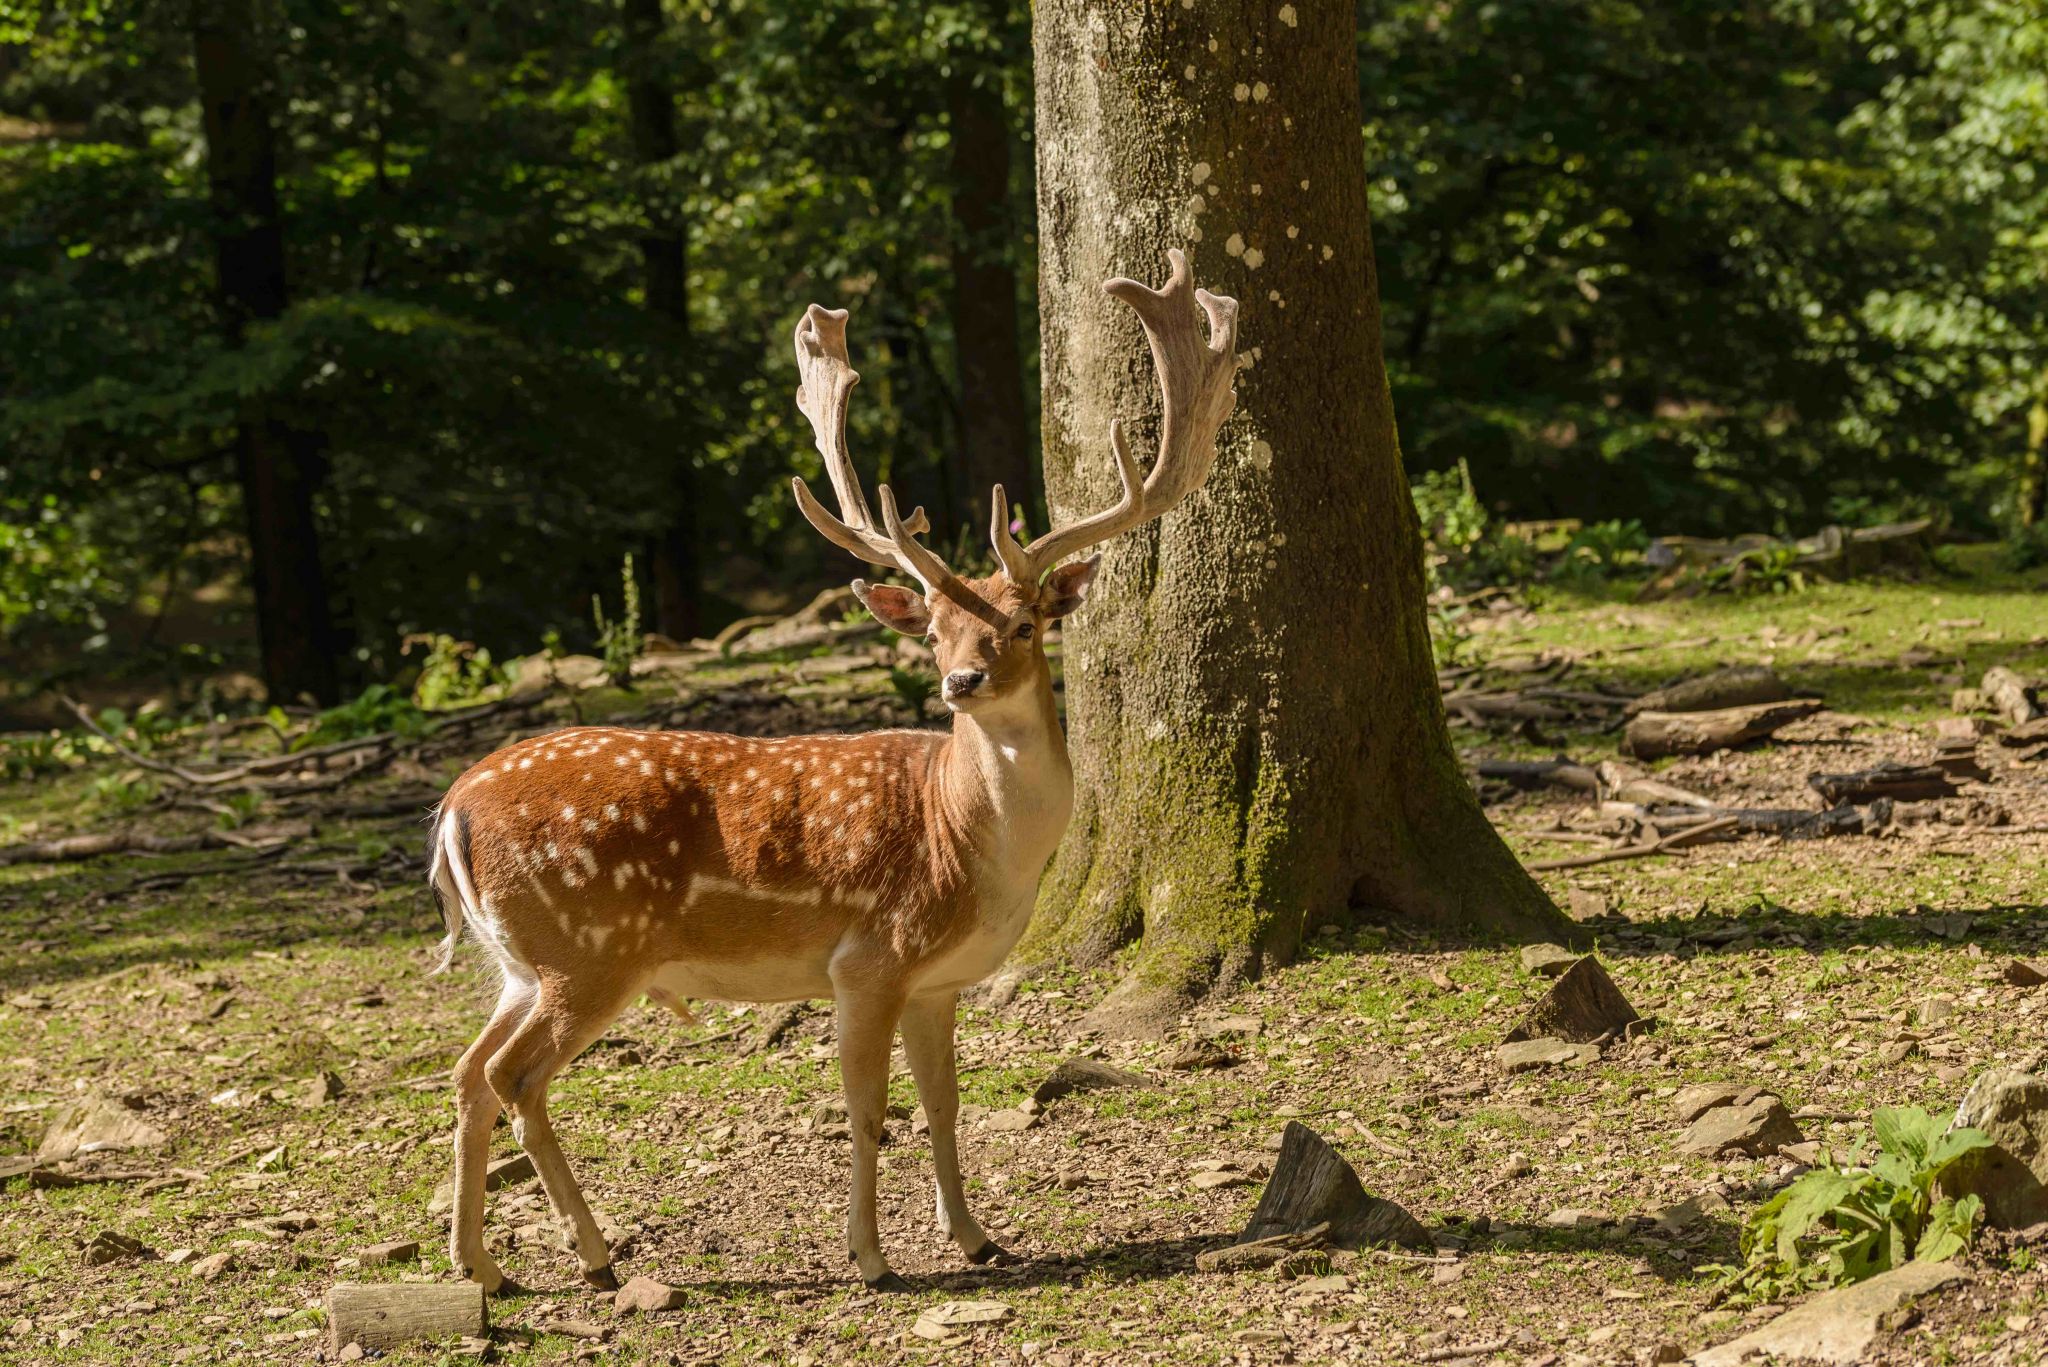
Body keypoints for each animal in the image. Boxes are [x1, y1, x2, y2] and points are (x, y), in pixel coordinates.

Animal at [425, 242, 1236, 1295]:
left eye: (1022, 624)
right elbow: (866, 1108)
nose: (962, 680)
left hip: (519, 960)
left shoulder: (938, 980)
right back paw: (593, 1255)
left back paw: (482, 1265)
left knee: (465, 1071)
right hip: (587, 947)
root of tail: (449, 810)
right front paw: (871, 1256)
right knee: (511, 1074)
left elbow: (944, 1103)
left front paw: (976, 1237)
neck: (972, 844)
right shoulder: (870, 957)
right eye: (933, 629)